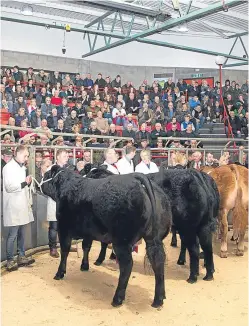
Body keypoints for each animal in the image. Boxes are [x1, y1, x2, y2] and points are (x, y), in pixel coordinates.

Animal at [41, 166, 172, 308]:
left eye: (46, 174)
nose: (39, 184)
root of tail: (138, 178)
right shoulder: (89, 231)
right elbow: (86, 247)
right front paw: (85, 266)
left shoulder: (64, 228)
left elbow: (65, 250)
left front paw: (60, 273)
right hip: (153, 239)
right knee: (158, 261)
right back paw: (159, 298)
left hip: (121, 241)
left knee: (127, 265)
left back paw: (117, 299)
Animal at [86, 167, 219, 284]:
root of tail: (193, 173)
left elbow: (103, 243)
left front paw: (99, 260)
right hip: (202, 226)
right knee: (207, 246)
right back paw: (208, 274)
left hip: (188, 228)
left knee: (195, 249)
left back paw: (192, 277)